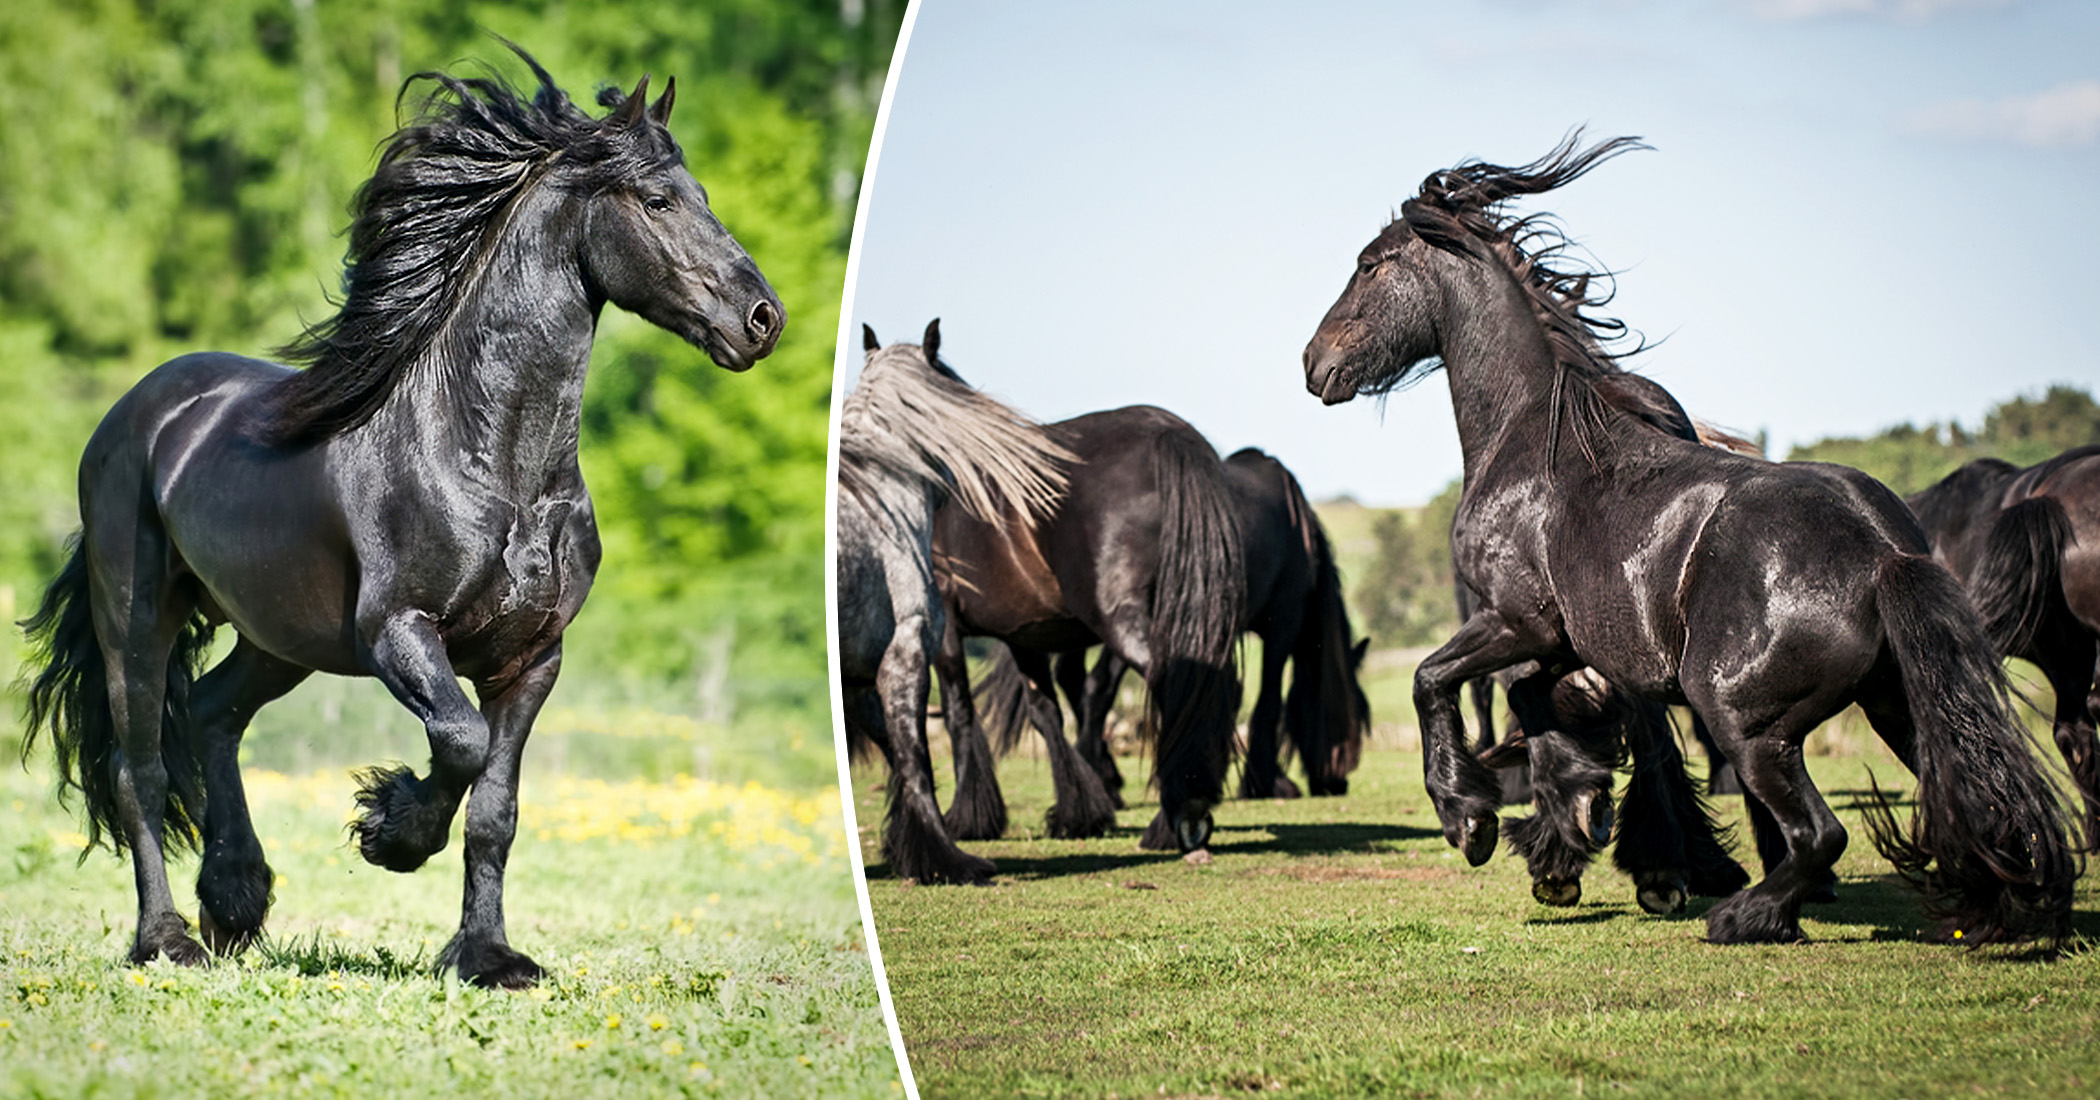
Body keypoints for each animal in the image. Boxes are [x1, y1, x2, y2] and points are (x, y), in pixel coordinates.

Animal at [14, 45, 789, 986]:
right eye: (657, 201)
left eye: (700, 193)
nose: (763, 320)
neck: (494, 466)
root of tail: (137, 411)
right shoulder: (397, 631)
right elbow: (458, 741)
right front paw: (390, 831)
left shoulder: (533, 659)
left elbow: (496, 809)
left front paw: (488, 956)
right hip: (137, 618)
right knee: (142, 771)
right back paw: (169, 939)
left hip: (280, 635)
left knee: (212, 712)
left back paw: (236, 899)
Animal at [831, 319, 1075, 885]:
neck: (882, 503)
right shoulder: (904, 656)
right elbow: (915, 759)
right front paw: (948, 858)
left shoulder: (864, 677)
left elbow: (902, 758)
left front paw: (915, 847)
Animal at [928, 403, 1234, 852]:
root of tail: (1164, 432)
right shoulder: (1026, 634)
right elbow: (1045, 714)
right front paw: (1078, 814)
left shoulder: (945, 626)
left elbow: (958, 712)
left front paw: (967, 818)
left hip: (1122, 619)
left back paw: (1176, 814)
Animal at [1302, 131, 2074, 944]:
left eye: (1368, 264)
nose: (1314, 363)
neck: (1530, 437)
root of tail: (1883, 555)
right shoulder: (1564, 644)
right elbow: (1539, 705)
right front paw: (1569, 821)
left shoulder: (1515, 620)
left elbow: (1430, 679)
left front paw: (1472, 819)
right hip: (1895, 706)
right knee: (1968, 796)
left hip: (1745, 721)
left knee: (1820, 833)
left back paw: (1747, 914)